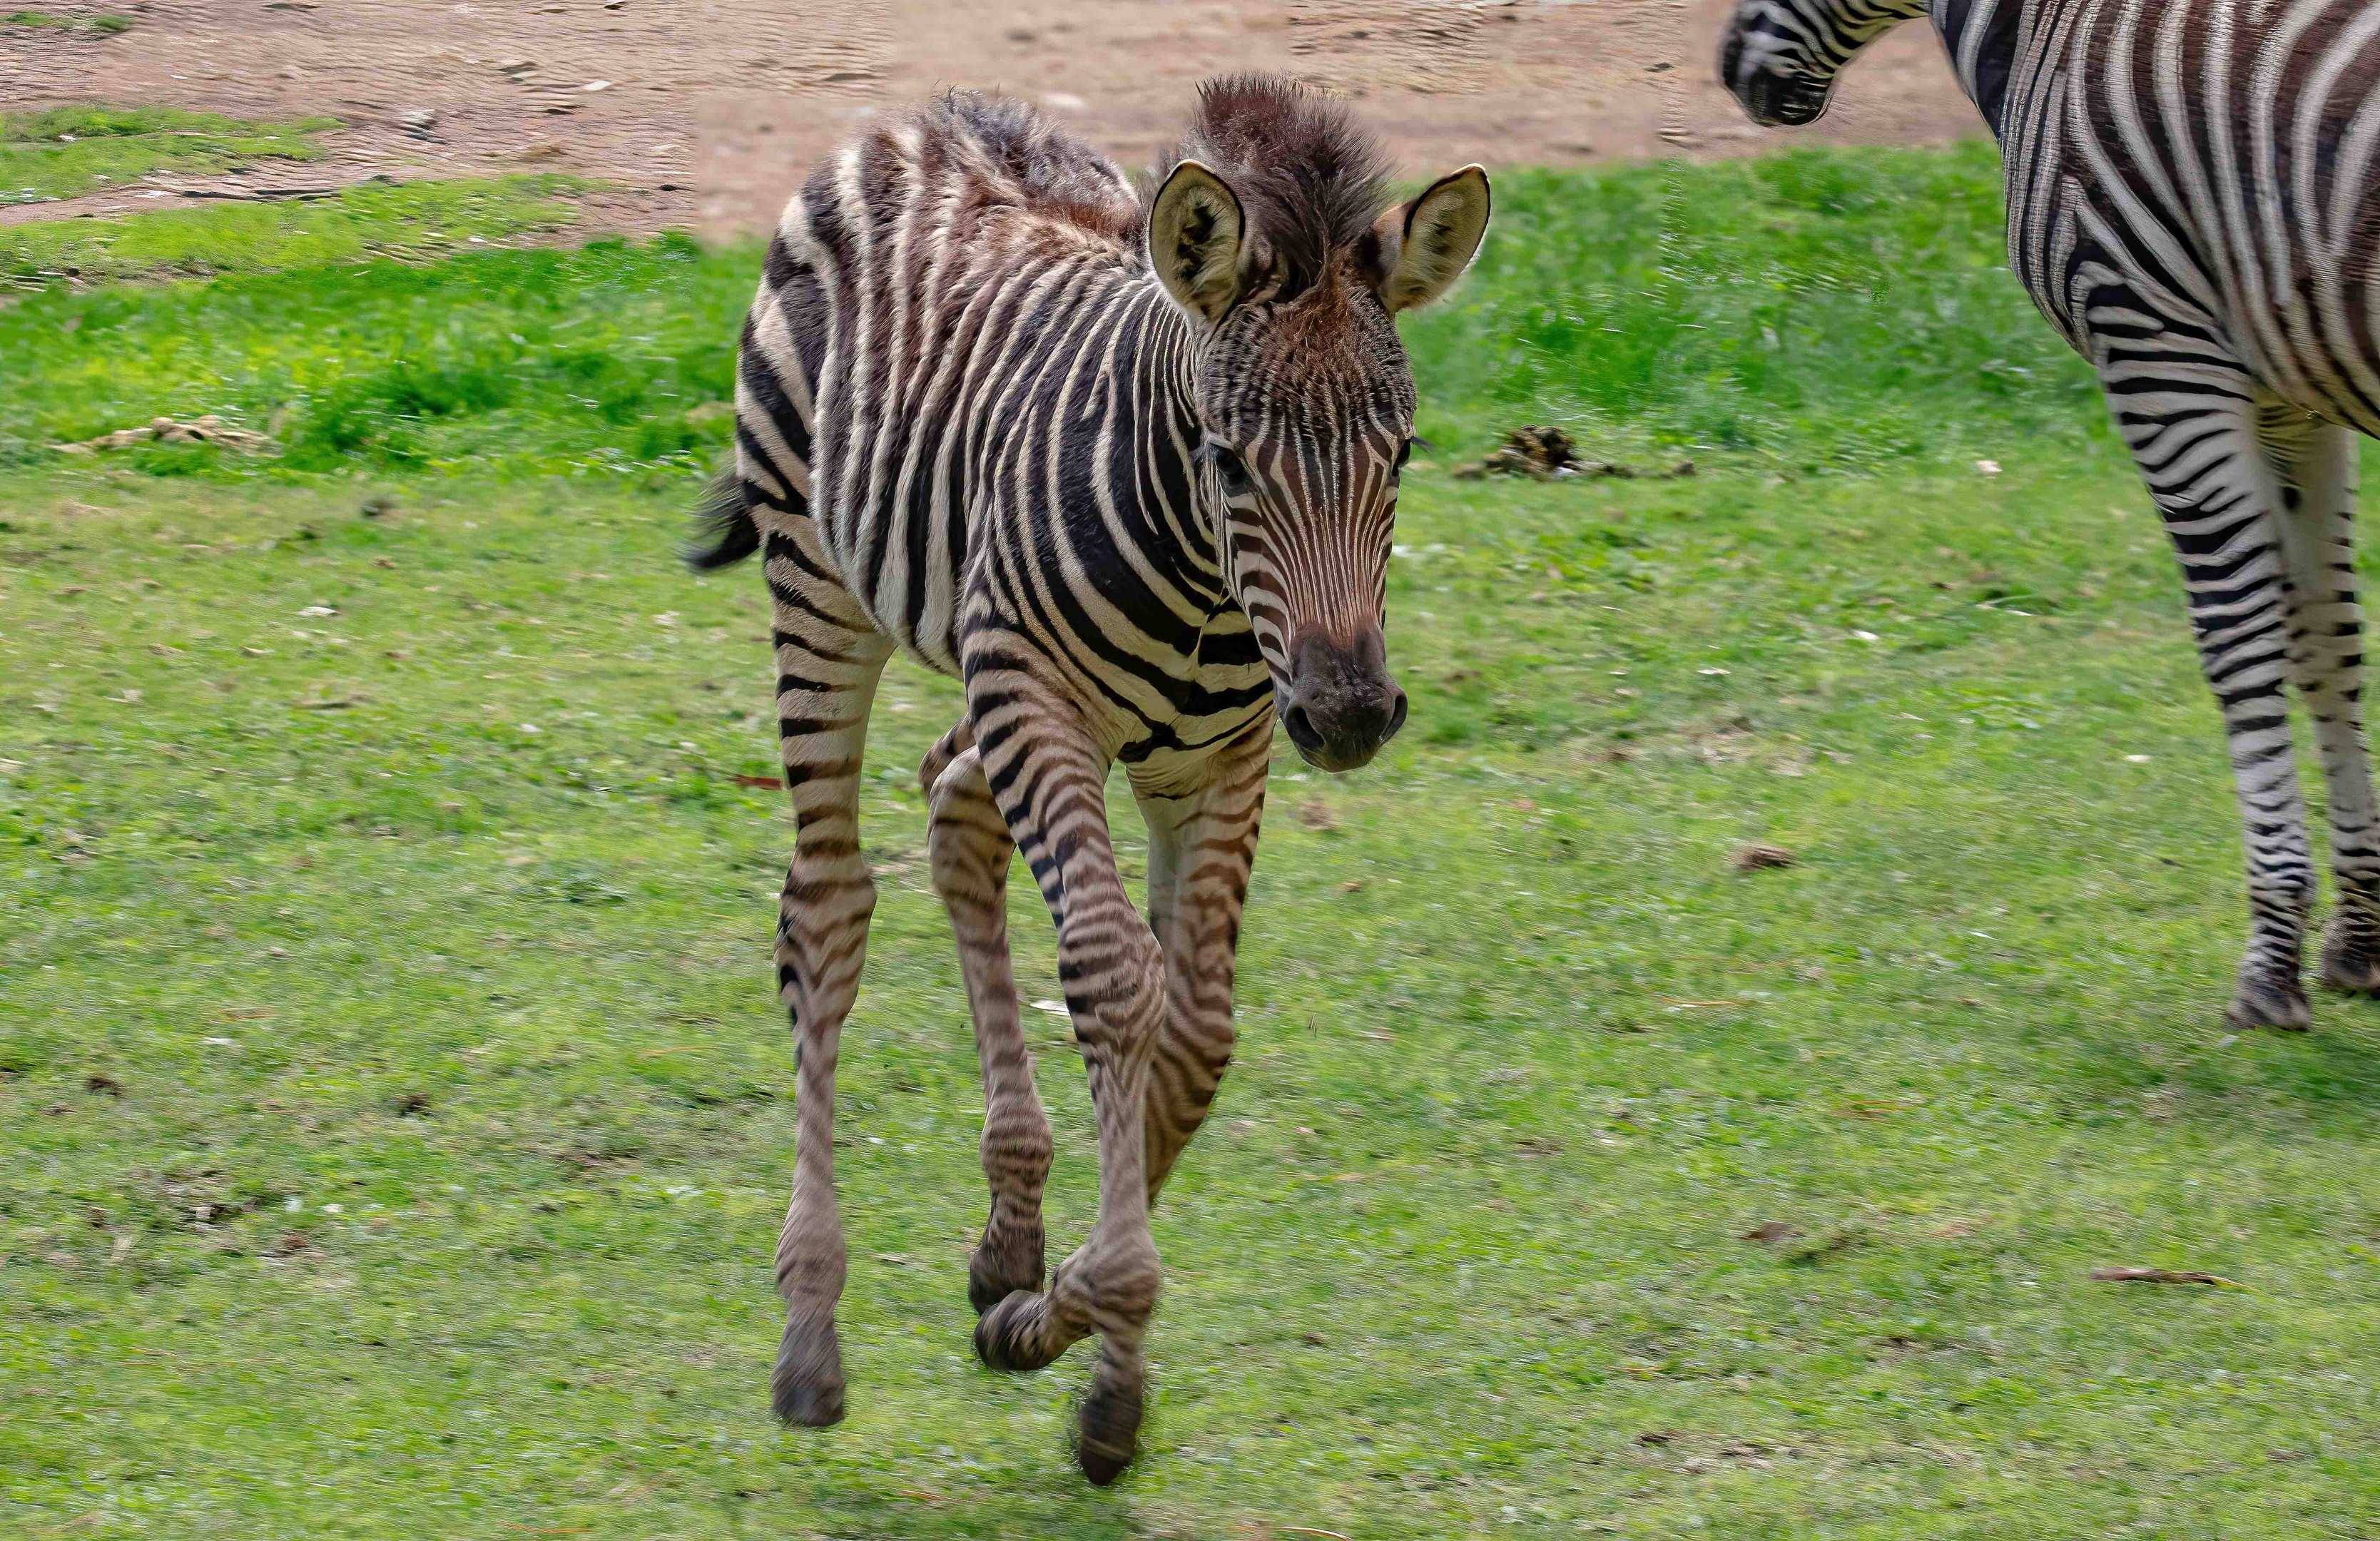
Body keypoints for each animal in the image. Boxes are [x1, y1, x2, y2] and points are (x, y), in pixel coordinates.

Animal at [686, 76, 1490, 1482]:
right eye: (1228, 458)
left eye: (1401, 453)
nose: (1346, 717)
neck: (1208, 593)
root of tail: (926, 123)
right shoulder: (1045, 706)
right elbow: (1118, 982)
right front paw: (1102, 1322)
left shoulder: (1224, 757)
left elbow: (1198, 1030)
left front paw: (1049, 1316)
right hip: (822, 587)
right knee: (826, 912)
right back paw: (809, 1337)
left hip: (991, 675)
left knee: (955, 806)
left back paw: (1008, 1230)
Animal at [1720, 0, 2380, 1031]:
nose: (1727, 73)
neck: (2044, 28)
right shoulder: (2290, 400)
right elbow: (2326, 642)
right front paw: (2355, 941)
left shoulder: (2154, 347)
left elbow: (2239, 647)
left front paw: (2270, 963)